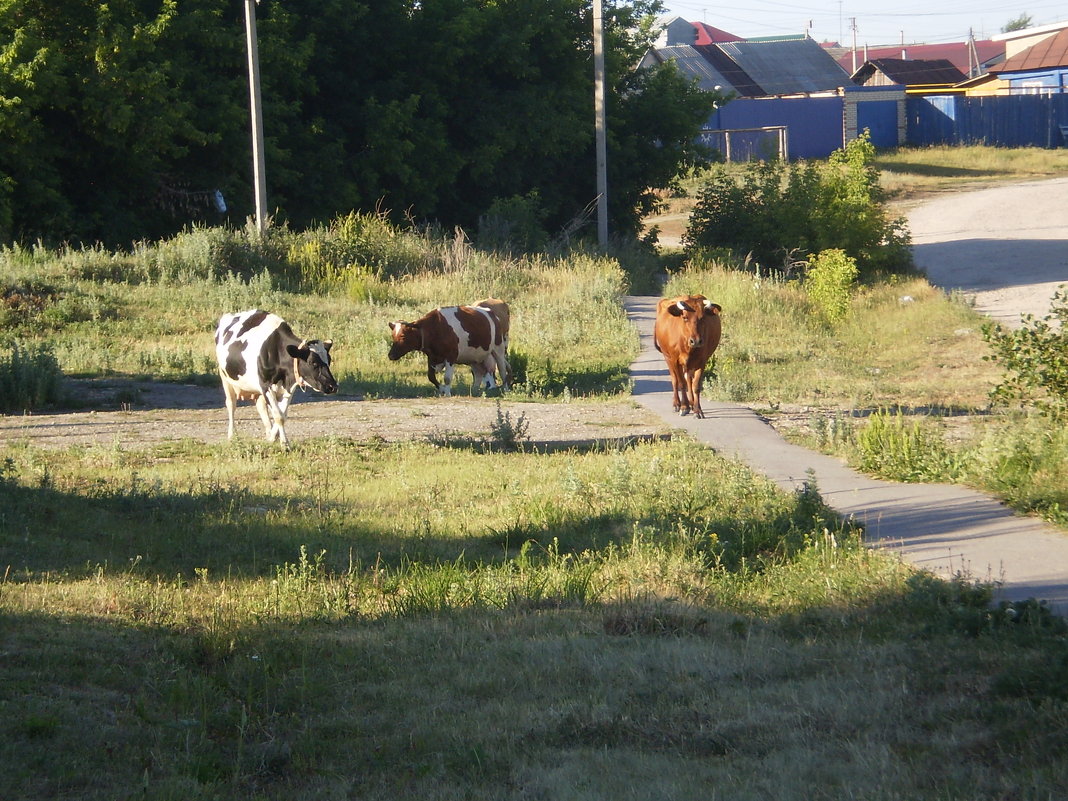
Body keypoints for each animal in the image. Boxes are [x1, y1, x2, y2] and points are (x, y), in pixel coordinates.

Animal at [213, 309, 337, 448]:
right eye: (313, 362)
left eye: (329, 360)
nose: (333, 386)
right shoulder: (266, 386)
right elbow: (278, 415)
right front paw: (285, 444)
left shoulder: (288, 389)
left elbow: (283, 414)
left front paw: (273, 438)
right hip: (225, 378)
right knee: (231, 405)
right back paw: (231, 436)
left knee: (261, 407)